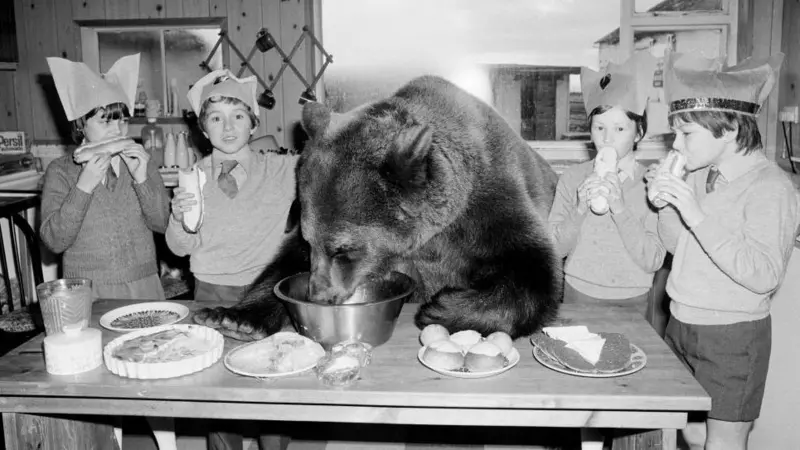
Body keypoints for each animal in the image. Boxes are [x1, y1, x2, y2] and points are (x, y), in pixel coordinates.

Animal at [193, 75, 563, 341]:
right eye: (312, 243)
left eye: (344, 249)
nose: (319, 295)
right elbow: (284, 262)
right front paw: (234, 318)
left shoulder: (487, 203)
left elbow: (532, 265)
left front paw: (441, 307)